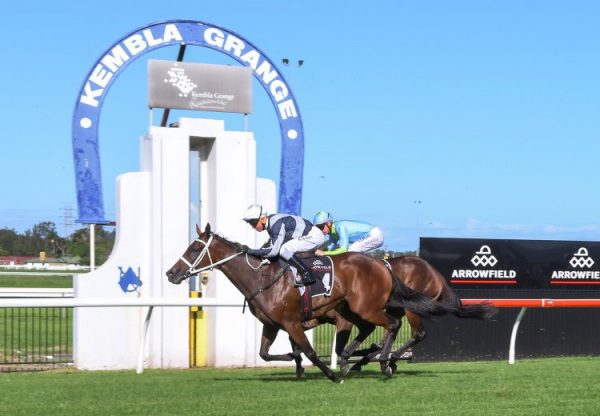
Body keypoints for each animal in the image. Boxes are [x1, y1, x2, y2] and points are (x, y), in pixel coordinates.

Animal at [166, 226, 458, 382]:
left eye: (195, 248)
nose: (171, 273)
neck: (263, 277)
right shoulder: (274, 324)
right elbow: (268, 353)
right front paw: (300, 366)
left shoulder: (295, 322)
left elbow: (310, 351)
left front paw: (332, 373)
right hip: (359, 309)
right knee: (378, 329)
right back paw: (373, 359)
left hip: (376, 309)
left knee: (400, 327)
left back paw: (386, 361)